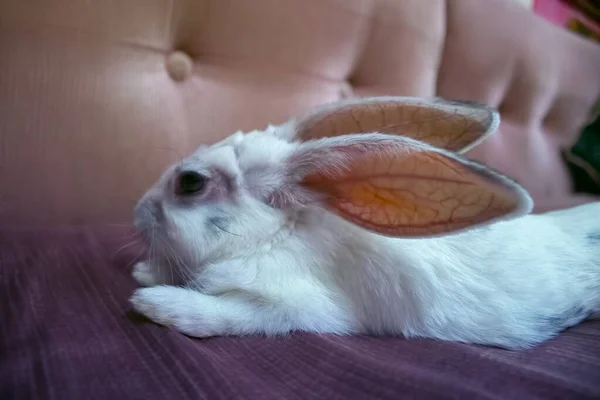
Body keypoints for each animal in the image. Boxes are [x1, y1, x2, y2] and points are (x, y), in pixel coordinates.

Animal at [129, 95, 596, 348]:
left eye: (190, 182)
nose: (137, 211)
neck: (280, 234)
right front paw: (146, 272)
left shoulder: (293, 306)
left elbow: (226, 314)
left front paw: (154, 302)